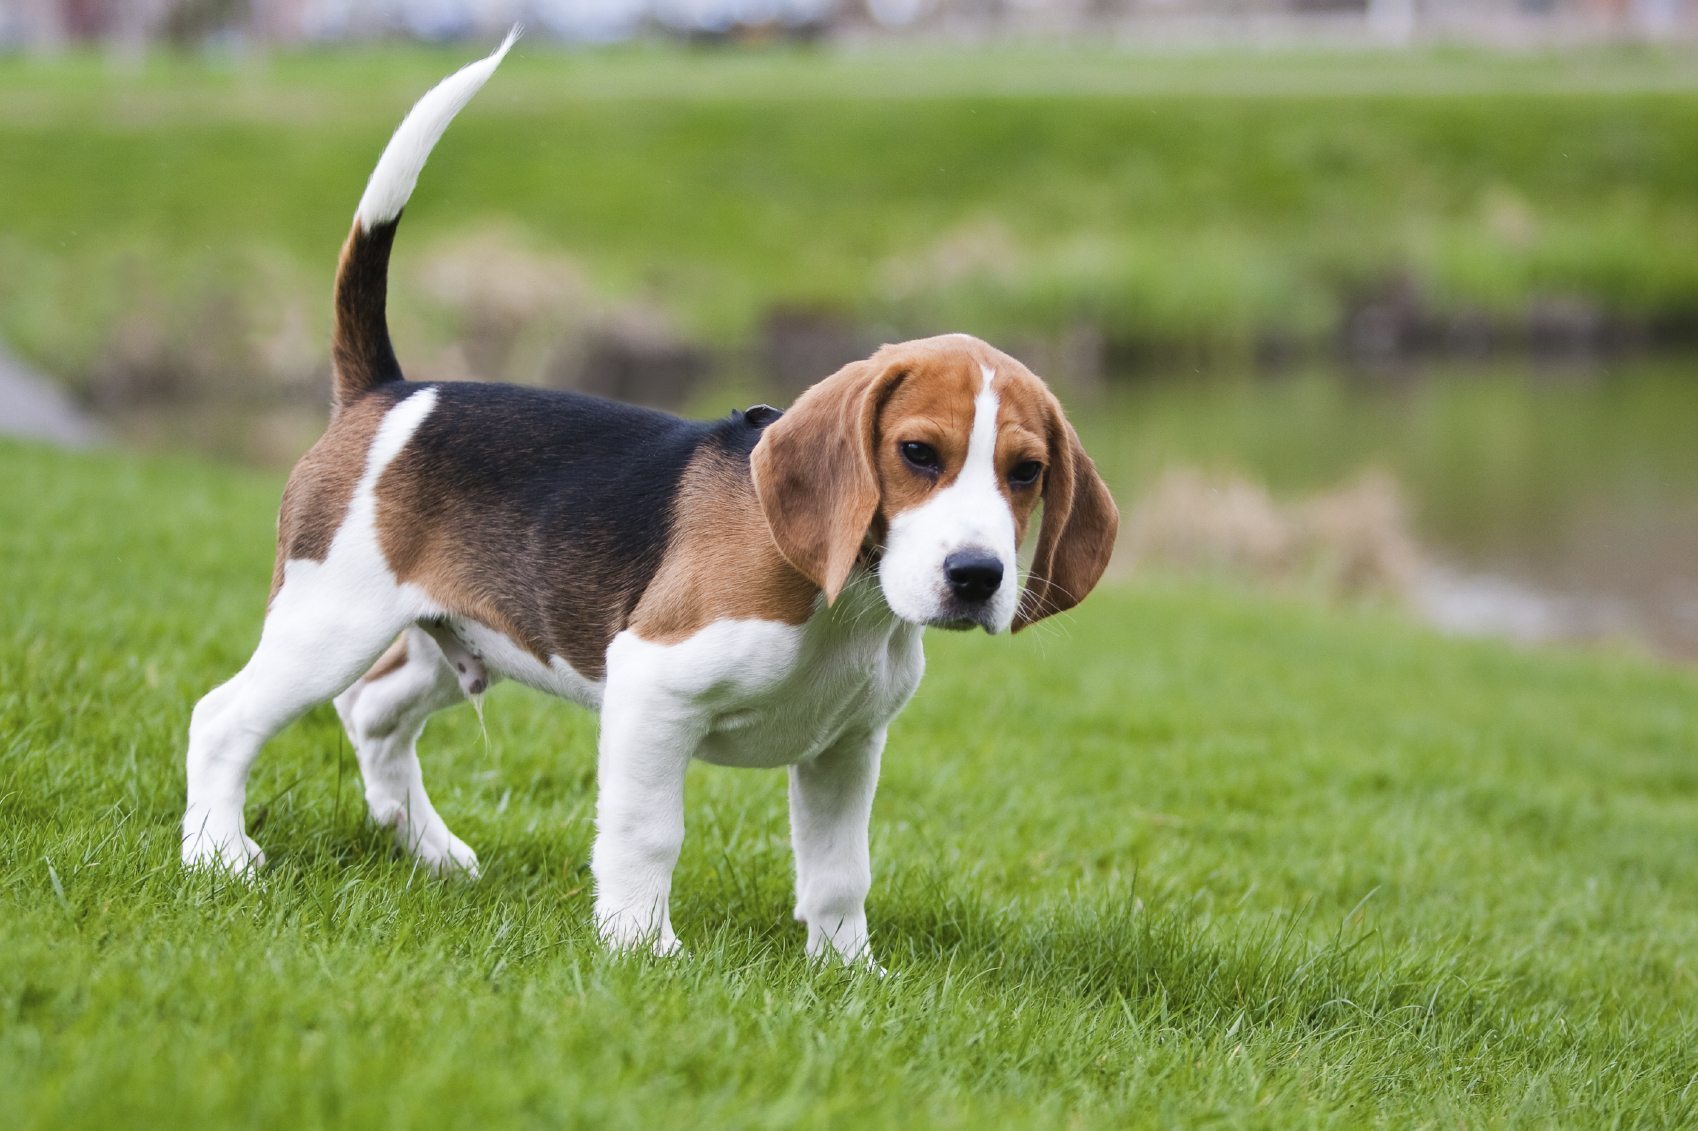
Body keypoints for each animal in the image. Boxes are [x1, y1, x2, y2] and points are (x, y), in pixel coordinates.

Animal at [182, 33, 1113, 957]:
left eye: (1026, 472)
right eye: (918, 453)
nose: (977, 576)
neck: (846, 597)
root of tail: (389, 391)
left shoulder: (845, 746)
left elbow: (840, 871)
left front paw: (849, 970)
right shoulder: (653, 690)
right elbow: (649, 832)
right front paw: (641, 947)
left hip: (461, 637)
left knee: (373, 712)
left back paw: (431, 851)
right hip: (331, 620)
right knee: (222, 718)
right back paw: (219, 853)